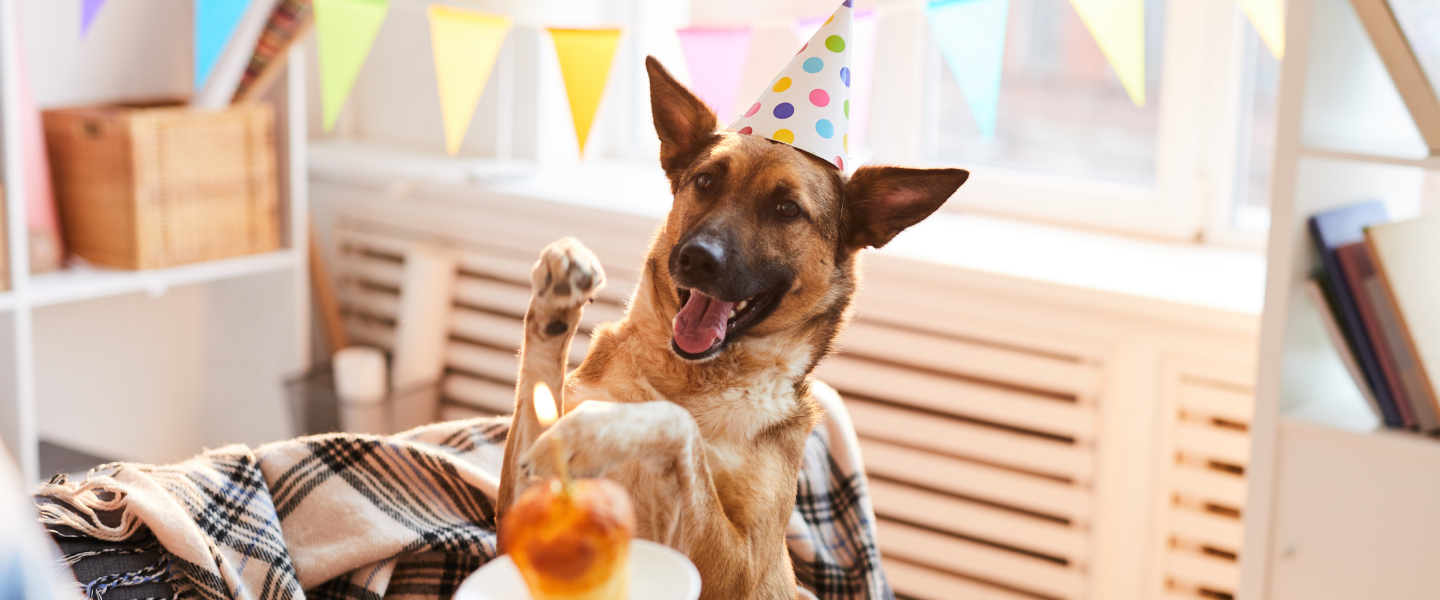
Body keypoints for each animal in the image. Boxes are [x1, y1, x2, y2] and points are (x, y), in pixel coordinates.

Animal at [501, 57, 973, 598]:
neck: (691, 379)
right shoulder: (526, 510)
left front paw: (597, 432)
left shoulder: (740, 568)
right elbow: (537, 388)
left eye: (787, 209)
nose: (697, 259)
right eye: (705, 182)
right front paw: (556, 300)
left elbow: (674, 424)